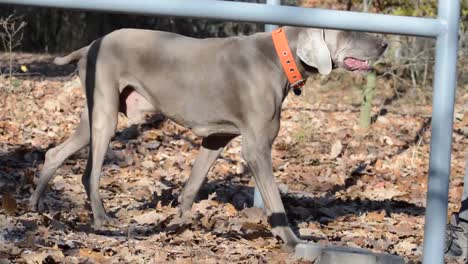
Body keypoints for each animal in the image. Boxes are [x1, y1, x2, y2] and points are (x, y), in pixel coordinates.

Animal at [30, 26, 388, 248]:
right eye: (350, 31)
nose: (385, 44)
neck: (280, 56)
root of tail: (90, 45)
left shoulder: (216, 138)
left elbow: (192, 185)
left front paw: (180, 223)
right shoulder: (256, 147)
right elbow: (275, 201)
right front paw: (292, 241)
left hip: (97, 114)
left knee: (54, 153)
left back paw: (34, 205)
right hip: (104, 113)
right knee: (90, 171)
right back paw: (102, 218)